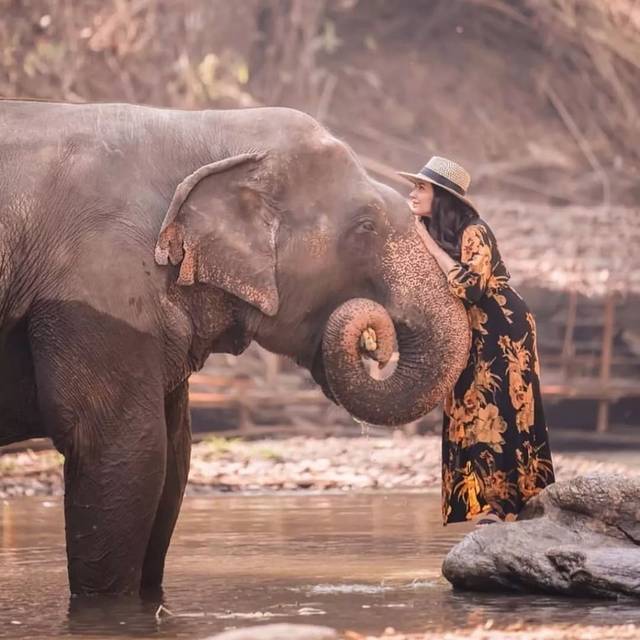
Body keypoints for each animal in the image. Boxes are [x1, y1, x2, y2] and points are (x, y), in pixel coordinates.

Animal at [0, 99, 470, 596]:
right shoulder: (100, 290)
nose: (376, 344)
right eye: (366, 226)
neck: (206, 128)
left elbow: (174, 458)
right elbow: (124, 451)